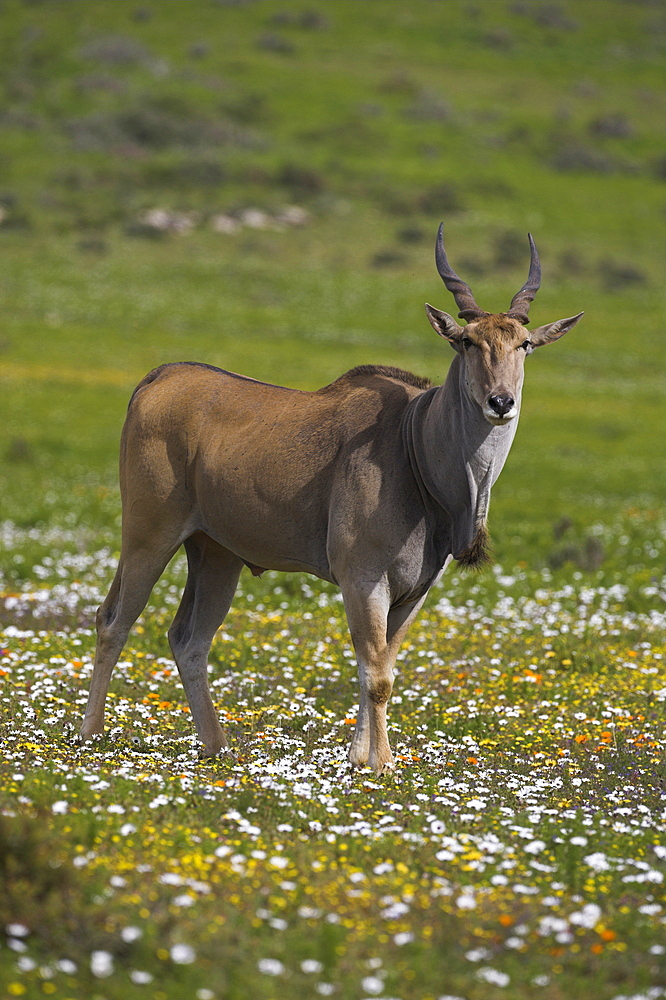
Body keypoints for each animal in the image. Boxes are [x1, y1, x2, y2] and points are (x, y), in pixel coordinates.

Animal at [80, 225, 580, 772]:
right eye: (467, 342)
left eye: (525, 344)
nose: (500, 402)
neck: (414, 446)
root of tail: (159, 377)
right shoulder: (362, 579)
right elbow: (376, 676)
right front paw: (380, 763)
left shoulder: (414, 592)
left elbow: (380, 665)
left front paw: (360, 757)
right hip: (149, 536)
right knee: (113, 621)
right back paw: (90, 735)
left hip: (217, 554)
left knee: (188, 640)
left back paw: (218, 746)